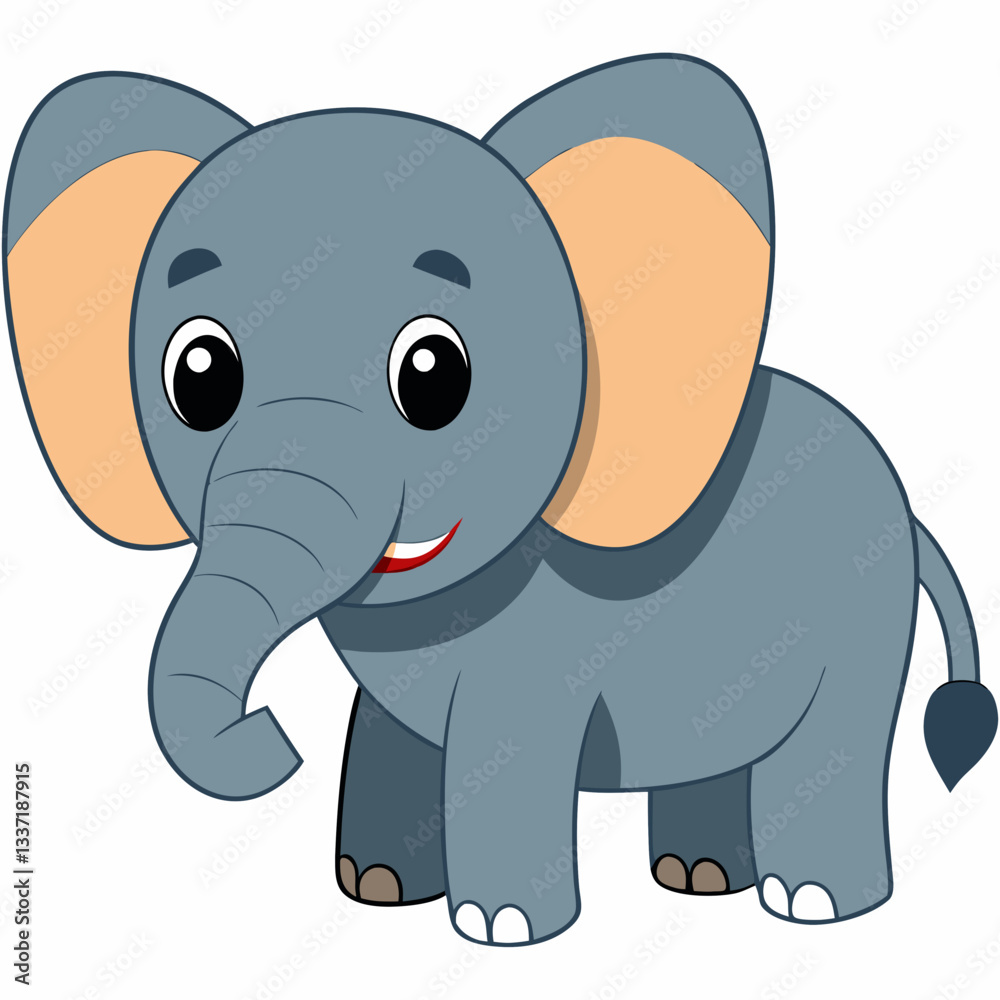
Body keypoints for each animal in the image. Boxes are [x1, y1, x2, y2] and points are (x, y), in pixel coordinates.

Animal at [5, 53, 997, 947]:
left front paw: (502, 930)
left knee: (834, 744)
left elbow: (503, 745)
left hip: (864, 615)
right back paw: (700, 879)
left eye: (435, 376)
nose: (274, 739)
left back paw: (813, 904)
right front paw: (374, 889)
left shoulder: (541, 645)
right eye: (198, 377)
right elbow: (390, 731)